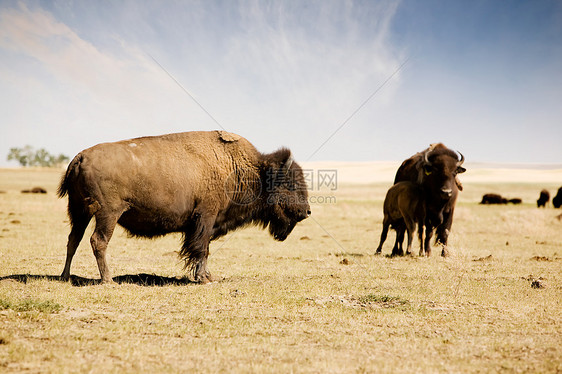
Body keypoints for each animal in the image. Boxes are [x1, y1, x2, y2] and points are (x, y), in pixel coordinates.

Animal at [58, 131, 310, 284]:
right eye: (290, 183)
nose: (307, 211)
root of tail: (80, 157)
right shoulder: (206, 217)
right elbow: (202, 249)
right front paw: (204, 278)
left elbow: (201, 249)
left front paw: (207, 276)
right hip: (107, 213)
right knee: (98, 241)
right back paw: (108, 279)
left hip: (79, 212)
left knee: (73, 240)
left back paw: (65, 276)